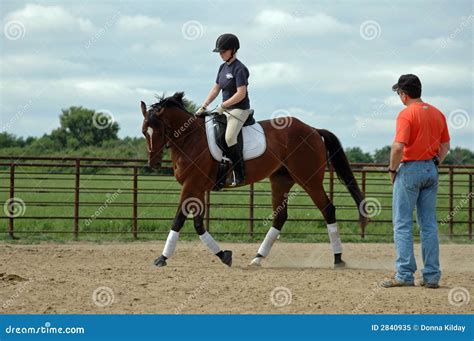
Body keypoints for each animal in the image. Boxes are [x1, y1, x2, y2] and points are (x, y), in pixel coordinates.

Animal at [139, 92, 368, 268]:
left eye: (158, 131)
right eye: (144, 132)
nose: (153, 163)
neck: (191, 139)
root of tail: (313, 130)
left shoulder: (191, 186)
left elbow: (179, 219)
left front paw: (162, 258)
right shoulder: (197, 188)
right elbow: (197, 223)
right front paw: (224, 255)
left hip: (309, 180)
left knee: (327, 209)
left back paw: (338, 259)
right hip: (281, 180)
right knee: (280, 216)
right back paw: (258, 258)